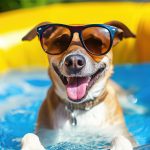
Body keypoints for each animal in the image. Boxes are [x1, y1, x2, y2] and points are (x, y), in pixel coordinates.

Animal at [20, 20, 137, 149]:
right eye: (60, 41)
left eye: (95, 42)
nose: (74, 61)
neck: (80, 108)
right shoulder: (46, 133)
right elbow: (29, 136)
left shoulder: (121, 132)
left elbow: (120, 138)